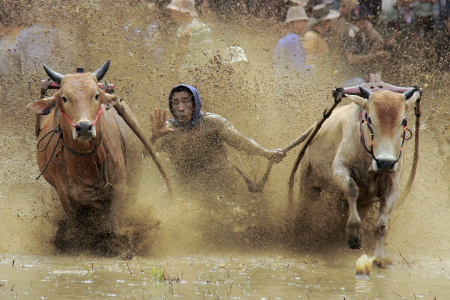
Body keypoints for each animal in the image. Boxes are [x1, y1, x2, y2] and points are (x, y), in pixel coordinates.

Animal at [27, 61, 140, 253]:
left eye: (96, 95)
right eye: (64, 98)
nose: (85, 127)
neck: (86, 165)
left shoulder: (120, 187)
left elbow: (112, 224)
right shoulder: (64, 194)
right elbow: (77, 226)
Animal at [298, 86, 420, 258]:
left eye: (403, 121)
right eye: (369, 119)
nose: (385, 162)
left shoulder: (392, 184)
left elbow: (381, 224)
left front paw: (378, 256)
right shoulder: (340, 169)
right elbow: (352, 189)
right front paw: (354, 234)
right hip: (308, 183)